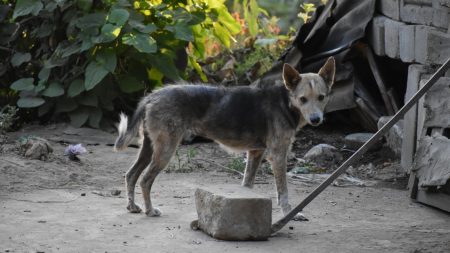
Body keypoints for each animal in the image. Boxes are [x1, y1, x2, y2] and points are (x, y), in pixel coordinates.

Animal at [114, 56, 336, 218]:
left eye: (321, 97)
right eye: (303, 99)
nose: (316, 119)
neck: (286, 101)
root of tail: (153, 96)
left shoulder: (256, 153)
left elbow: (247, 185)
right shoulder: (278, 156)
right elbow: (283, 193)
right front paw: (290, 214)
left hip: (149, 148)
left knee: (131, 175)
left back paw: (132, 206)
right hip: (165, 150)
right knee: (145, 180)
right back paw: (150, 210)